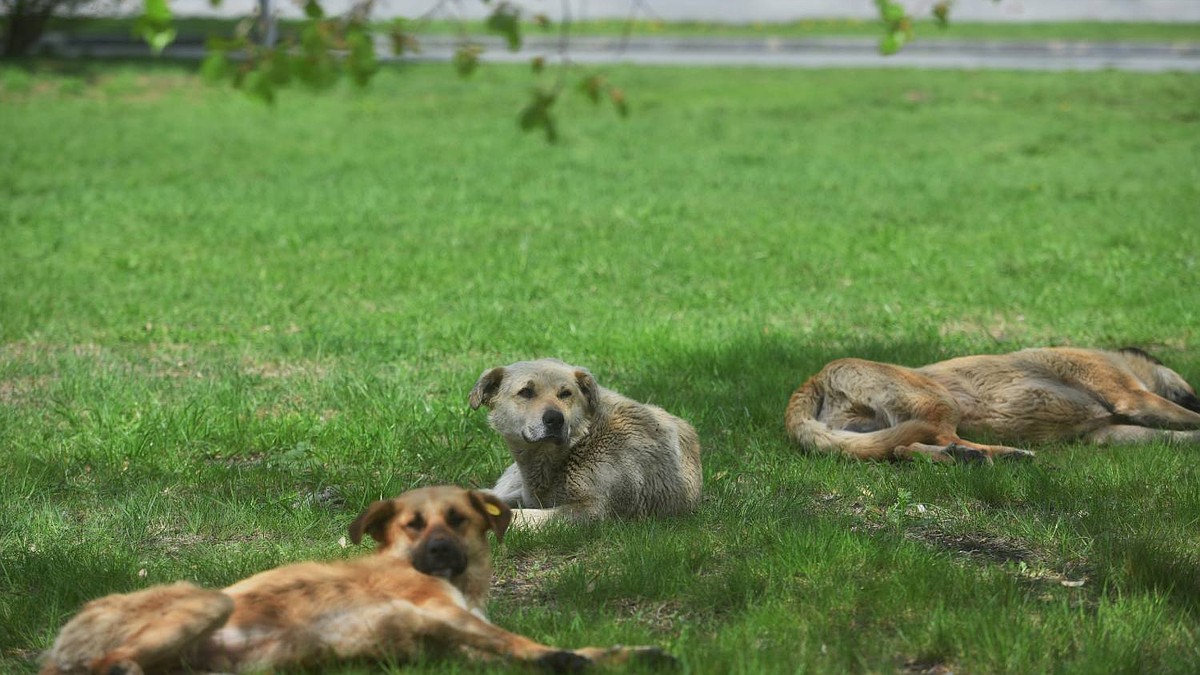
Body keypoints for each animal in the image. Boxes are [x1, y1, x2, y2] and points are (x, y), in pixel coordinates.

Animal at [39, 485, 676, 667]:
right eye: (413, 525)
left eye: (459, 519)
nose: (439, 550)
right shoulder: (440, 615)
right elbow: (535, 647)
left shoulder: (455, 644)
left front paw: (633, 653)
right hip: (209, 603)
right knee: (105, 665)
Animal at [468, 357, 700, 526]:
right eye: (526, 392)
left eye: (565, 393)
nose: (555, 419)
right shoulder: (529, 495)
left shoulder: (593, 509)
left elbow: (522, 515)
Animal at [787, 345, 1200, 461]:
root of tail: (817, 377)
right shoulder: (1132, 396)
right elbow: (1188, 417)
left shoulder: (1105, 433)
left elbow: (1174, 434)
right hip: (941, 401)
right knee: (938, 437)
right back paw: (1000, 455)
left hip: (874, 430)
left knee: (904, 448)